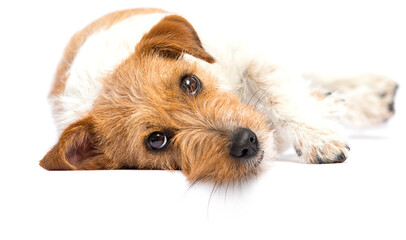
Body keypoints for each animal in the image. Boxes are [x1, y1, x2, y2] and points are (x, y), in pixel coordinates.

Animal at [38, 7, 400, 184]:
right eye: (157, 140)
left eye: (190, 83)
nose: (247, 142)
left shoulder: (252, 55)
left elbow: (282, 96)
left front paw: (317, 138)